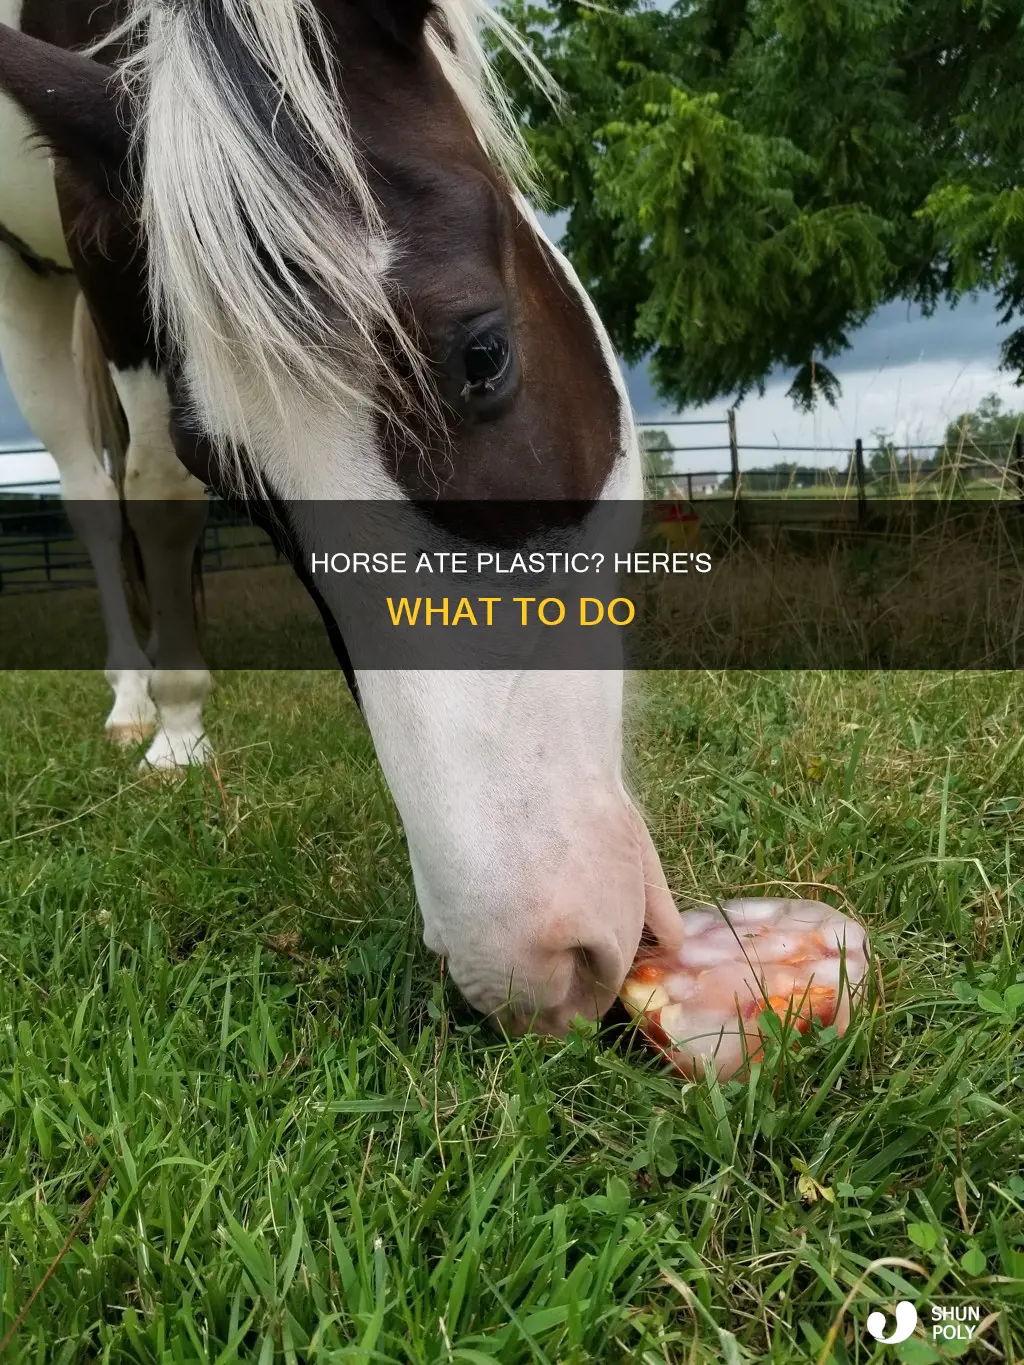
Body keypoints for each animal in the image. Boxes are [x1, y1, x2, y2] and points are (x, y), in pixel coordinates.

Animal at [0, 0, 687, 1036]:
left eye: (483, 355)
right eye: (233, 475)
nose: (530, 964)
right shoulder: (99, 229)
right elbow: (156, 490)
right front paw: (178, 727)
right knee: (91, 489)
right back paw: (132, 700)